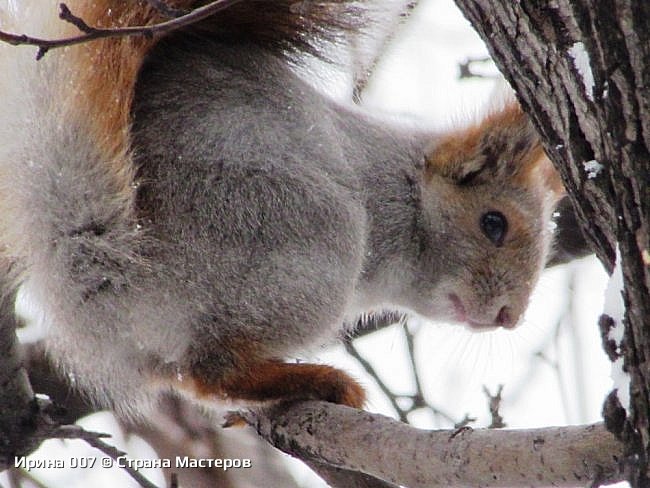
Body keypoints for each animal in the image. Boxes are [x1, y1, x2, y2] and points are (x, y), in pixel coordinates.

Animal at [0, 0, 560, 416]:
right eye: (494, 223)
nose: (510, 315)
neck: (403, 190)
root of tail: (105, 258)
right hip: (307, 244)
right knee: (214, 370)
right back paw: (317, 379)